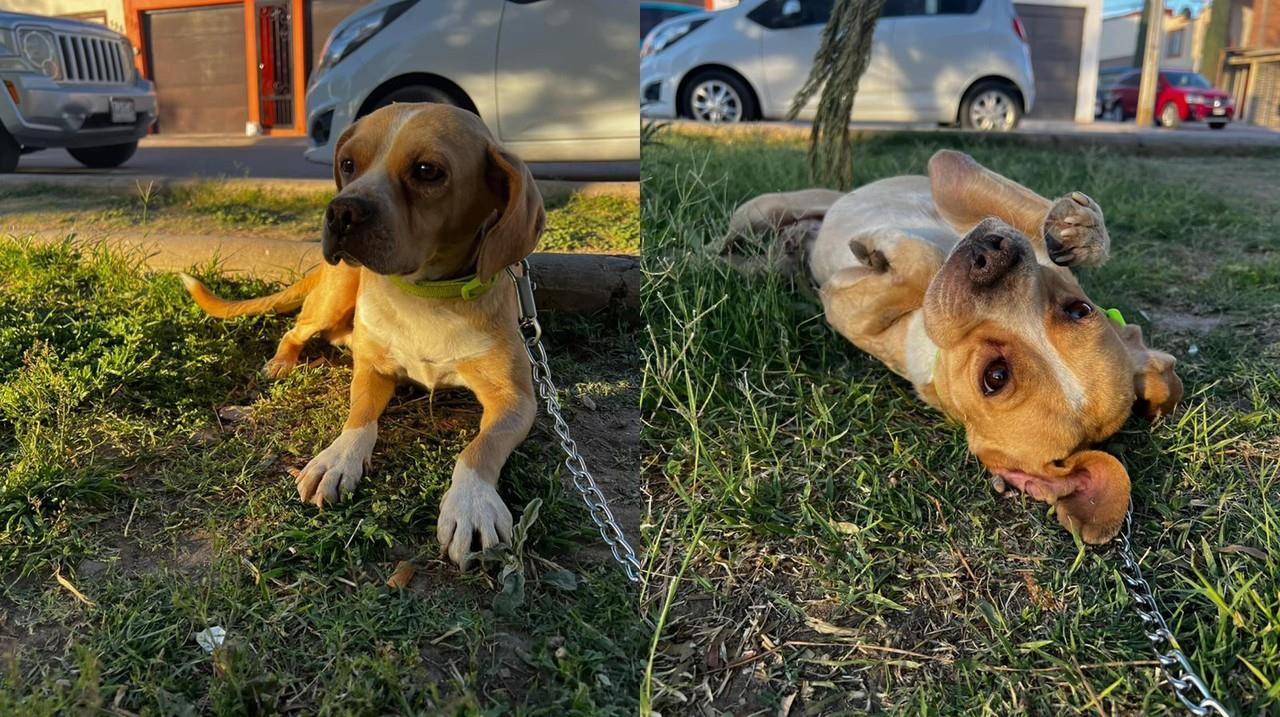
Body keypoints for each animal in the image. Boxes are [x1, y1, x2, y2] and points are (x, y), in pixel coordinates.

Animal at [179, 103, 540, 568]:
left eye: (427, 171)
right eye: (349, 164)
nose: (340, 213)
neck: (426, 297)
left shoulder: (515, 400)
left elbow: (480, 447)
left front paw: (471, 503)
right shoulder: (372, 370)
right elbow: (359, 418)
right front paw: (337, 458)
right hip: (333, 295)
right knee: (296, 331)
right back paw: (282, 362)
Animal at [727, 151, 1182, 542]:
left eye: (995, 377)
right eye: (1079, 309)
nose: (990, 254)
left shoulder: (848, 307)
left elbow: (921, 275)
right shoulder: (954, 175)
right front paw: (1073, 230)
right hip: (760, 210)